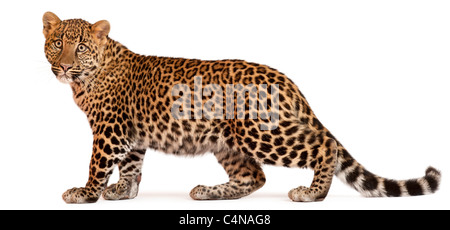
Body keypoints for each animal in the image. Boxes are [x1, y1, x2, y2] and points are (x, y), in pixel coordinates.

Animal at [44, 12, 442, 203]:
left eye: (80, 46)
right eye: (58, 42)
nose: (63, 66)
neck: (87, 77)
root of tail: (286, 81)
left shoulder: (109, 129)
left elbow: (98, 164)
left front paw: (86, 193)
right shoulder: (130, 132)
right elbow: (131, 166)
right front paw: (122, 192)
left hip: (262, 134)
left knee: (322, 145)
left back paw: (313, 193)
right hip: (228, 141)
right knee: (253, 176)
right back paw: (207, 192)